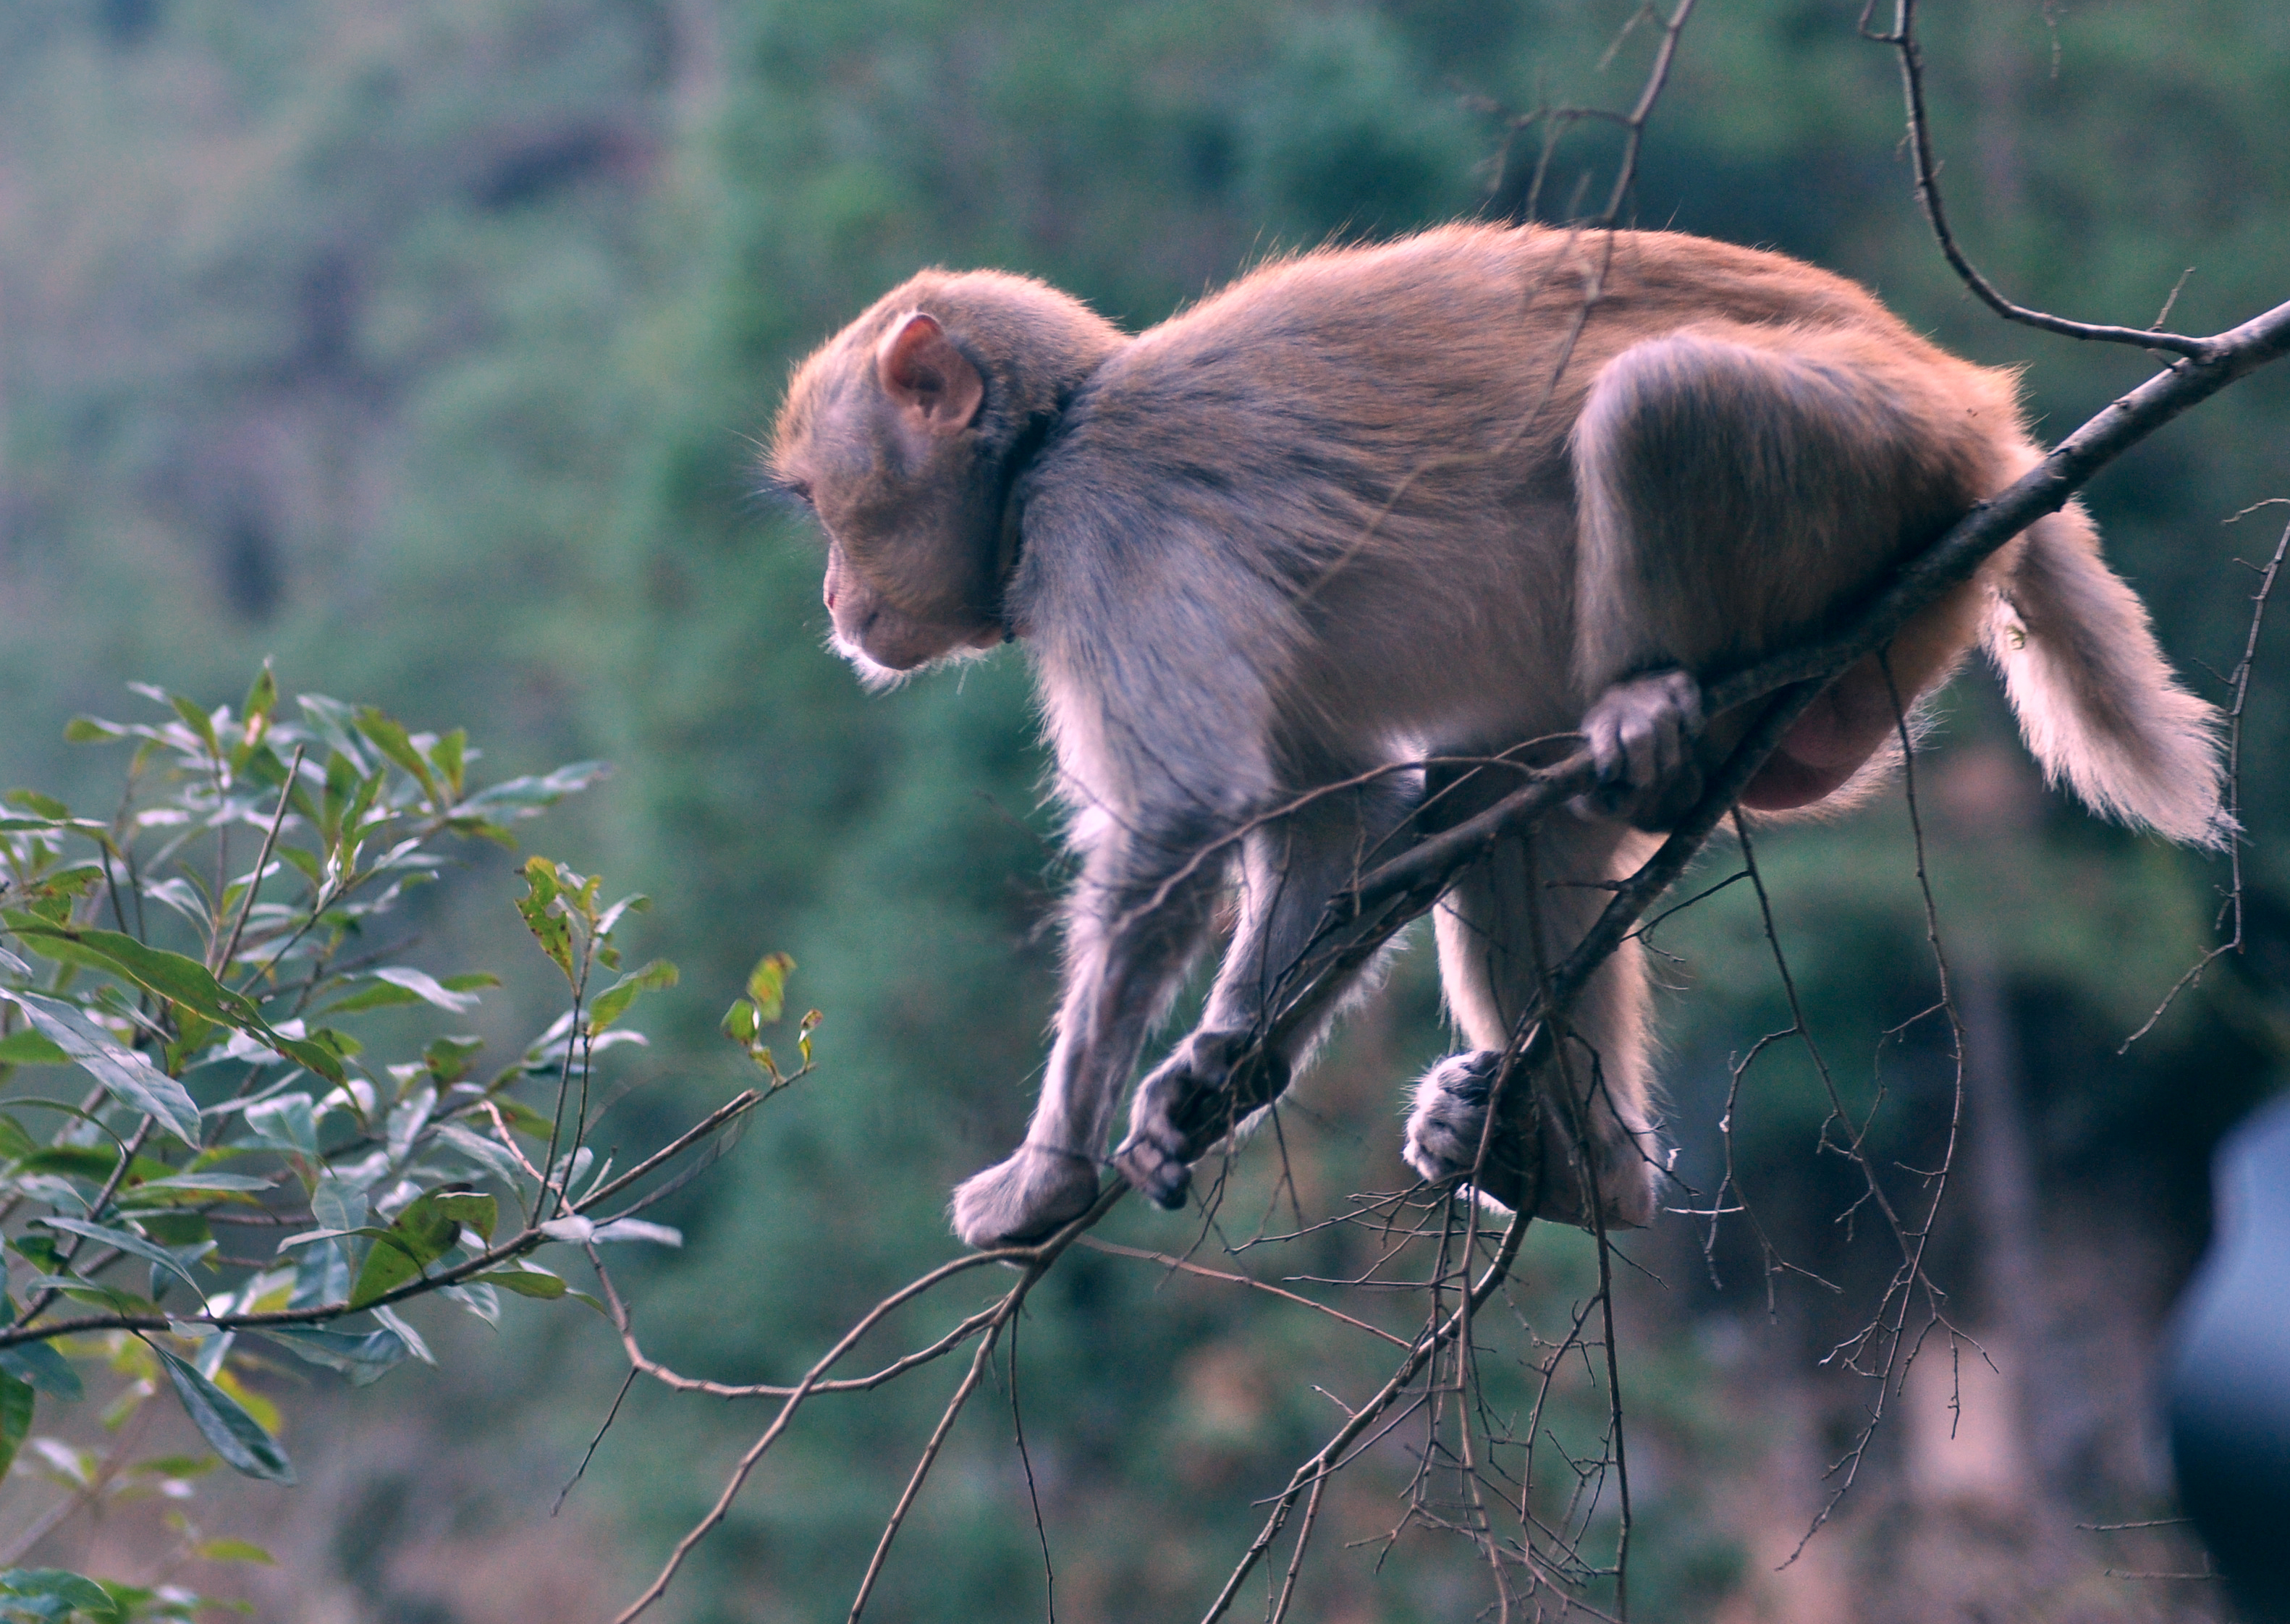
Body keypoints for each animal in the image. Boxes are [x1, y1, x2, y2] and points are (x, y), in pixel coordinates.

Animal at [764, 222, 2216, 1246]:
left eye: (825, 505)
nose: (829, 601)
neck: (1048, 444)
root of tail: (1983, 415)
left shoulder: (1103, 526)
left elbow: (1182, 811)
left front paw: (1044, 1174)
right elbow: (1334, 813)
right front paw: (1214, 1075)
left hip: (1866, 450)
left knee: (1656, 400)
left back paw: (1649, 718)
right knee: (1504, 809)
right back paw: (1586, 1173)